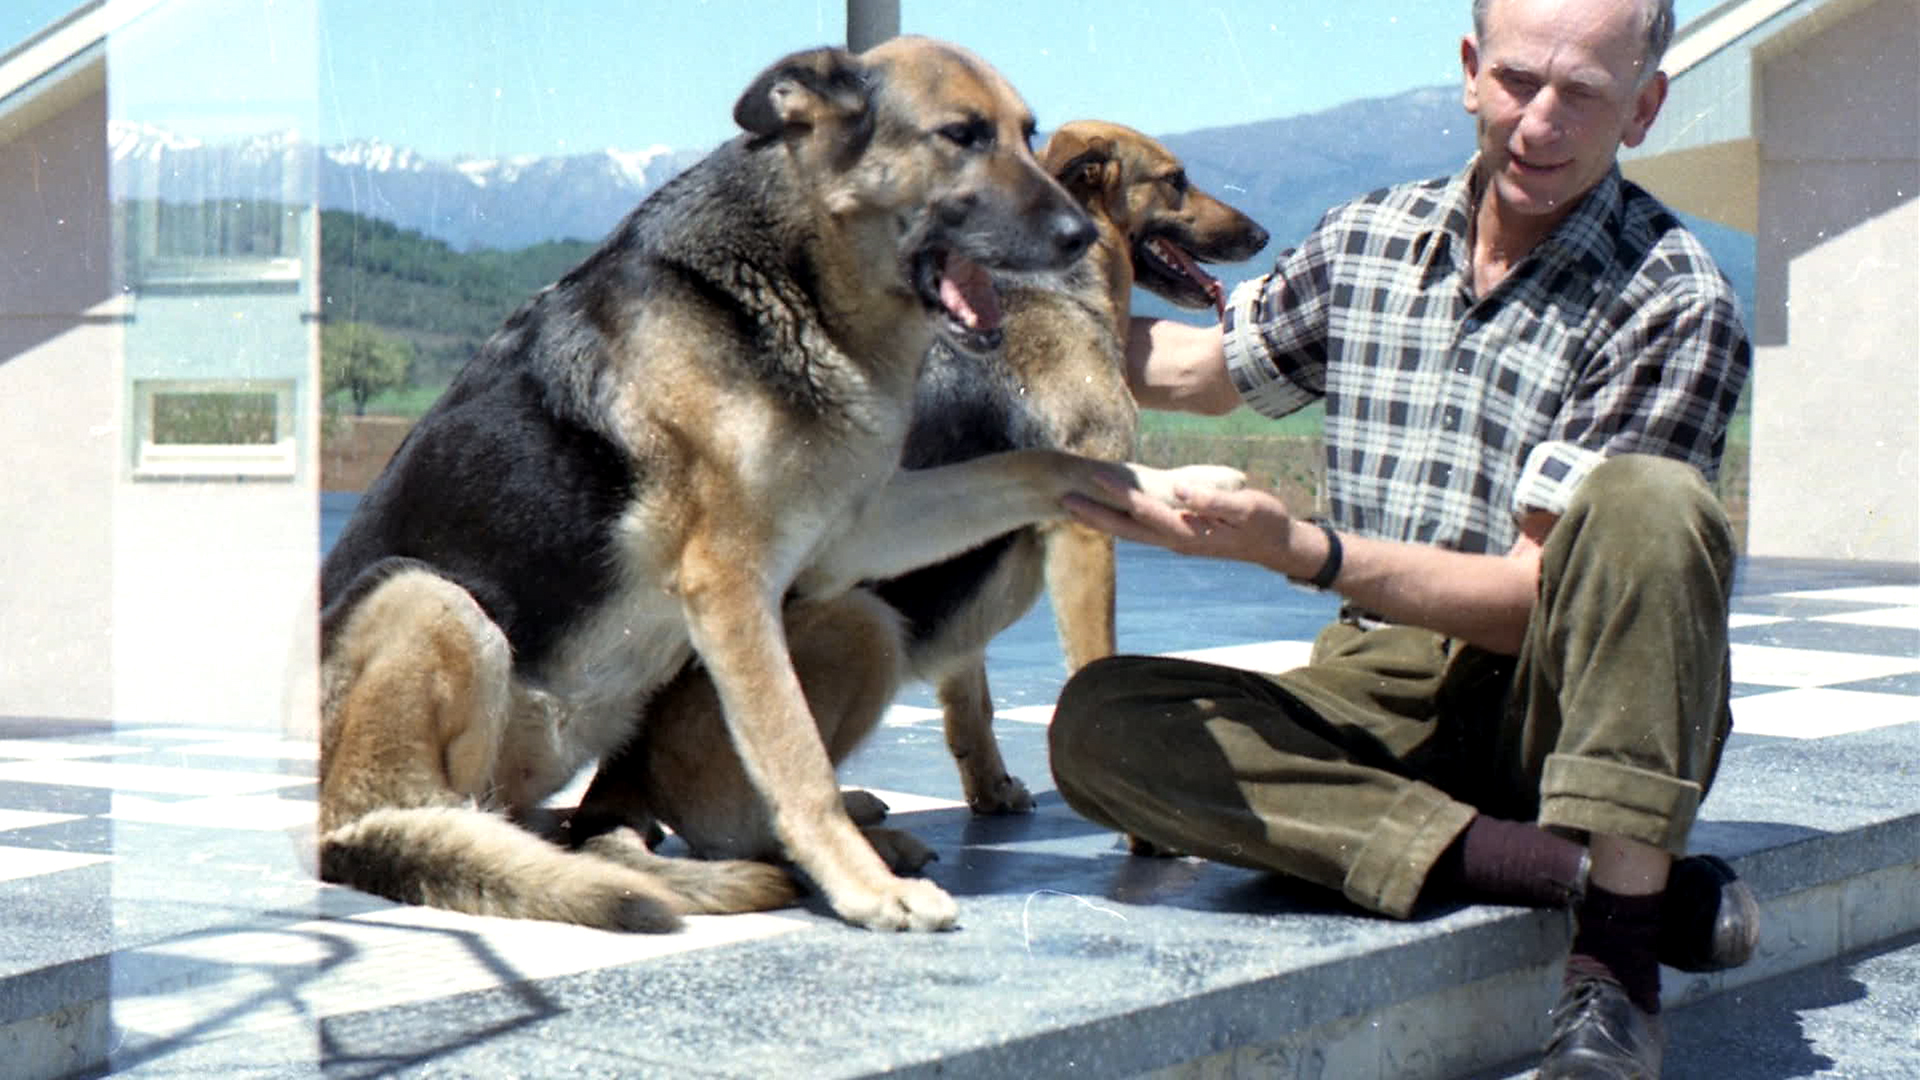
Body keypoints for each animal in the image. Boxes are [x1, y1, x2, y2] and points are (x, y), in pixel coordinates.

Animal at [560, 123, 1267, 876]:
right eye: (1176, 179)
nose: (1262, 235)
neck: (1046, 288)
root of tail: (617, 776)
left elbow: (971, 702)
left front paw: (990, 790)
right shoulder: (1084, 533)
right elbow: (1090, 661)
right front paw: (1136, 832)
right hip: (860, 634)